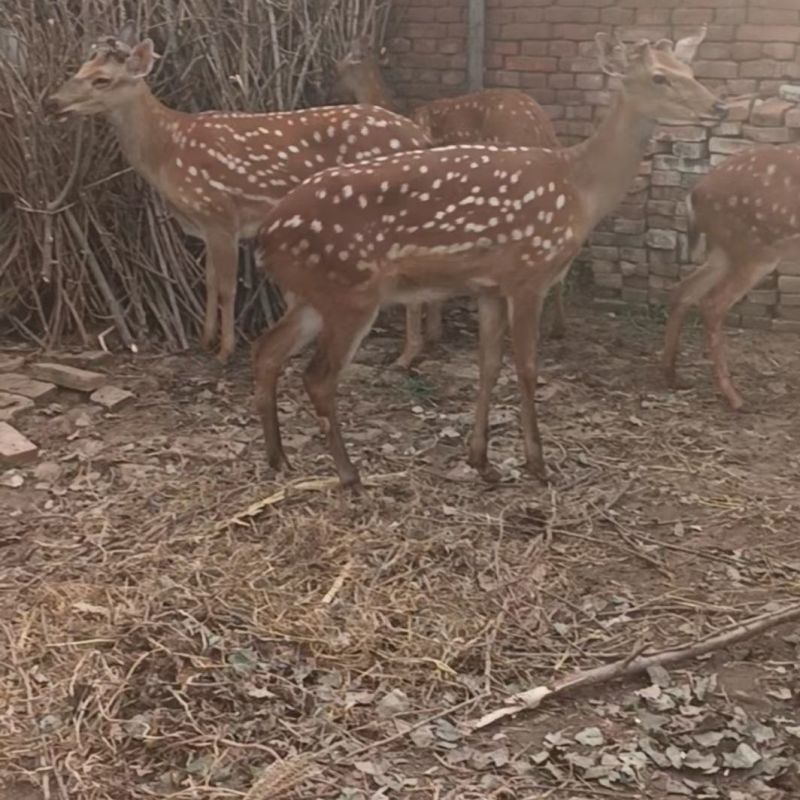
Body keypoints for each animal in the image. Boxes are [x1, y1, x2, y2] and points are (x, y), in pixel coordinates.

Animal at [46, 21, 428, 360]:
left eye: (102, 79)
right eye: (80, 67)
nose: (52, 102)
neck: (169, 150)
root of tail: (418, 135)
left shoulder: (220, 213)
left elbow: (228, 287)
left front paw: (225, 351)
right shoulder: (203, 225)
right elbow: (210, 281)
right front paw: (204, 340)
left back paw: (406, 355)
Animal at [332, 34, 568, 366]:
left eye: (341, 66)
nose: (331, 90)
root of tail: (542, 130)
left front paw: (409, 352)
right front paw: (433, 333)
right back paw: (556, 327)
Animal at [664, 141, 800, 410]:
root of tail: (695, 193)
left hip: (723, 250)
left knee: (685, 290)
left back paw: (671, 374)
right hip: (754, 249)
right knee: (713, 302)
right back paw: (734, 397)